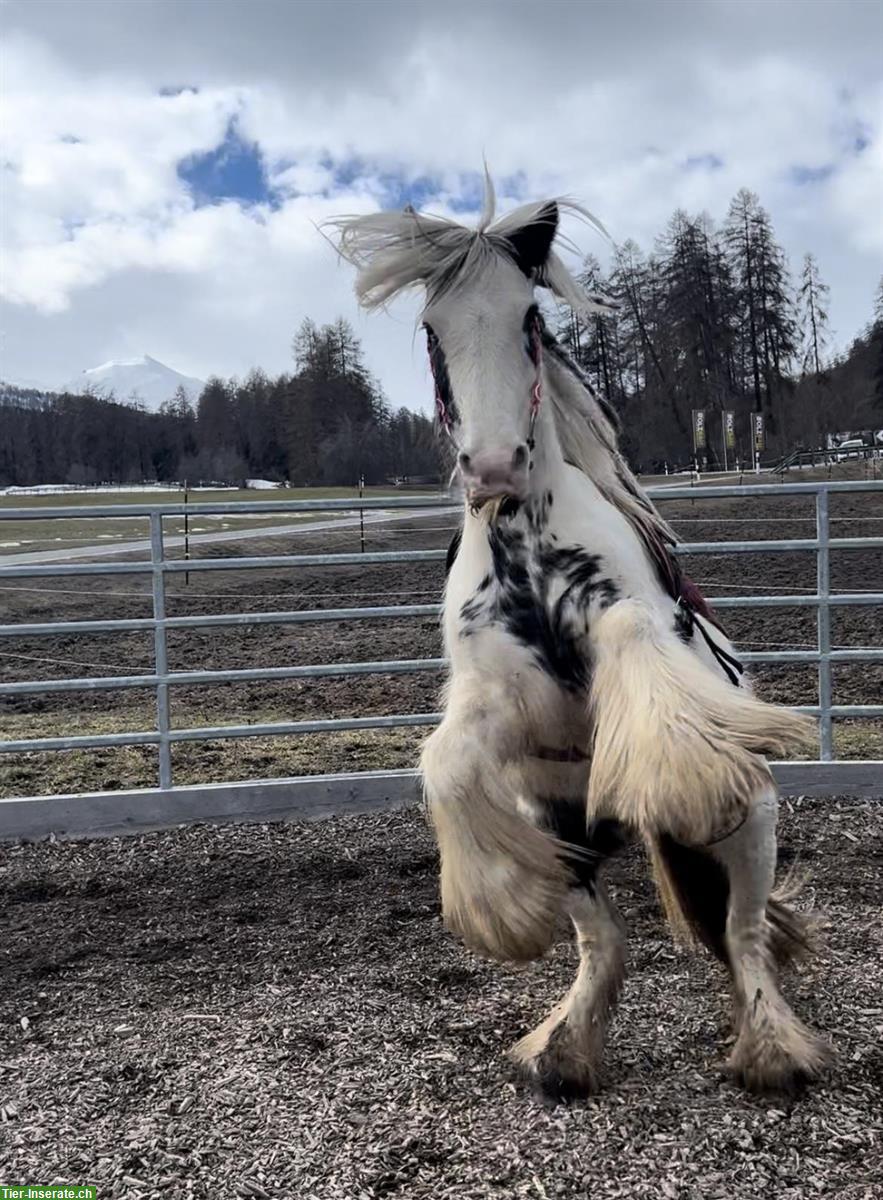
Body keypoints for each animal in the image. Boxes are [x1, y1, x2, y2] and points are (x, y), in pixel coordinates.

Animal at [328, 177, 825, 1099]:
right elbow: (445, 763)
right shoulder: (500, 702)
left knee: (741, 935)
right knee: (604, 939)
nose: (493, 468)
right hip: (563, 830)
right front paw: (498, 910)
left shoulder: (628, 625)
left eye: (527, 317)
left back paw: (772, 1050)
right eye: (432, 330)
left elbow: (629, 626)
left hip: (749, 828)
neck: (526, 544)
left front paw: (681, 766)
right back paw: (562, 1050)